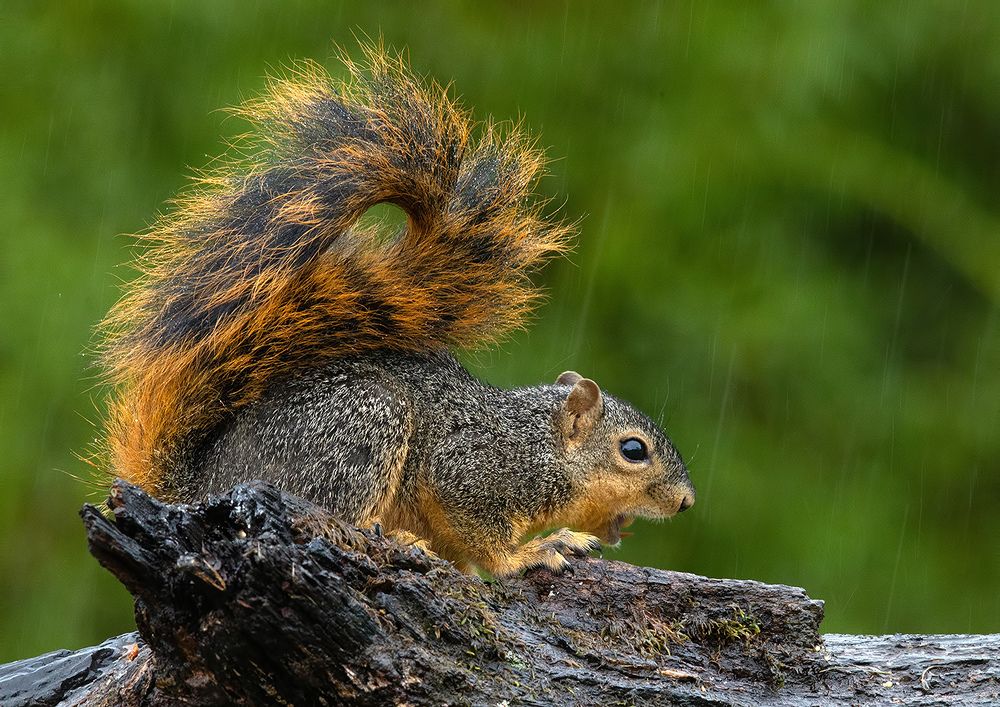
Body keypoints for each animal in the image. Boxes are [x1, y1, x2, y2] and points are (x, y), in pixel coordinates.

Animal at [99, 44, 695, 576]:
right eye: (634, 450)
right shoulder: (471, 475)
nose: (687, 501)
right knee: (339, 514)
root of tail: (200, 491)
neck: (538, 445)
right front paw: (534, 551)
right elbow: (485, 543)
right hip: (362, 431)